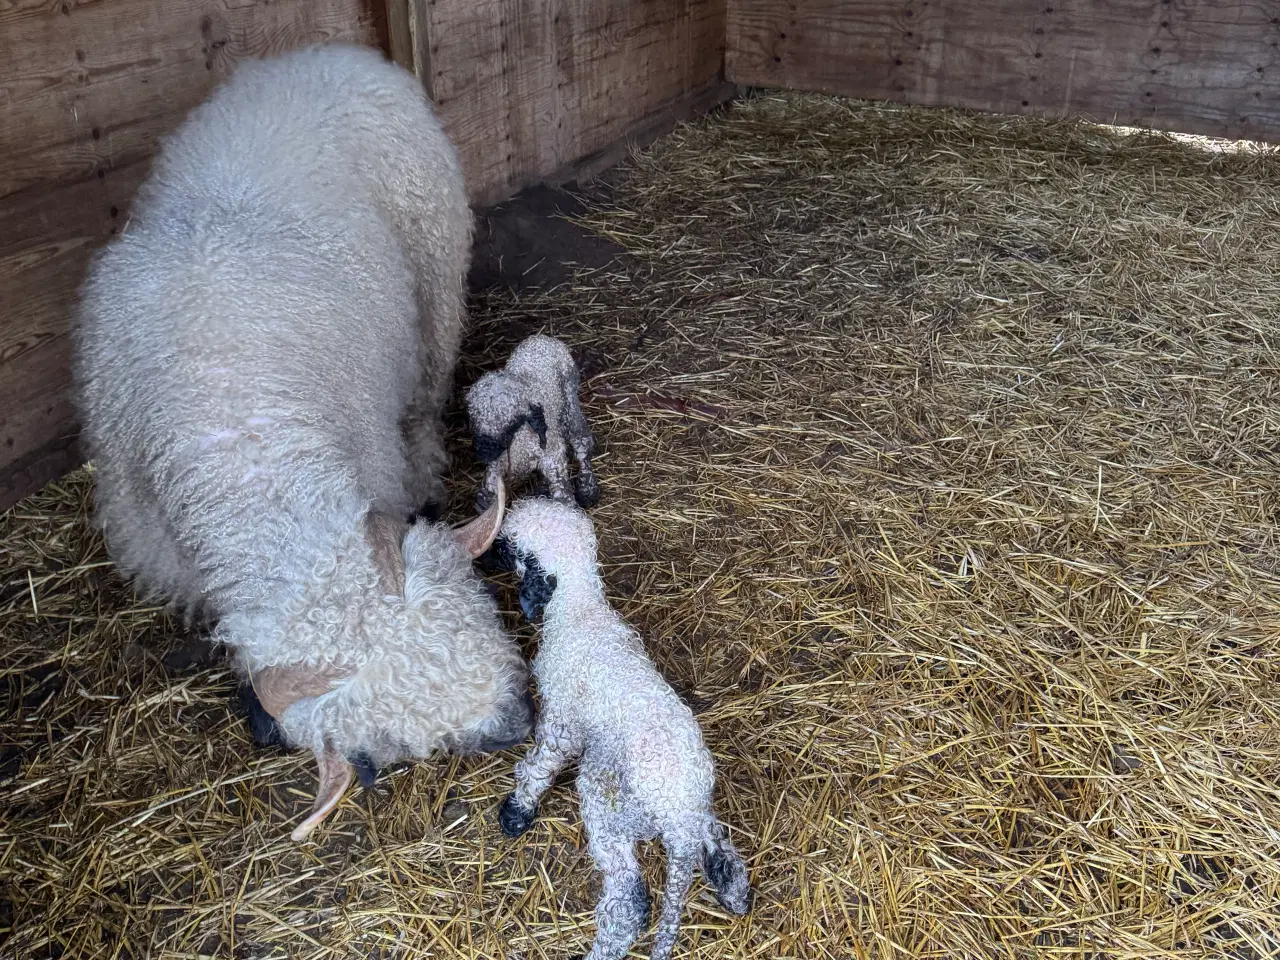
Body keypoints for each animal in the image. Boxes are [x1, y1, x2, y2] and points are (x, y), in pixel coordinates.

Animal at [72, 43, 532, 839]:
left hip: (436, 273)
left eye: (475, 619)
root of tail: (325, 53)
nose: (517, 723)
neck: (242, 443)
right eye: (408, 738)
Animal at [465, 335, 599, 512]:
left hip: (569, 399)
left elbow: (563, 496)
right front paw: (483, 501)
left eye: (512, 423)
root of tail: (542, 338)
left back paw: (587, 489)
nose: (484, 451)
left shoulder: (553, 458)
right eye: (473, 418)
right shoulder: (497, 465)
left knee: (581, 440)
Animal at [488, 499, 747, 957]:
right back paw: (733, 891)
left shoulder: (564, 718)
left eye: (506, 544)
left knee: (631, 897)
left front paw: (517, 812)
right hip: (695, 805)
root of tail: (679, 813)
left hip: (608, 796)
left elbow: (541, 764)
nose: (483, 557)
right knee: (717, 842)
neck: (579, 609)